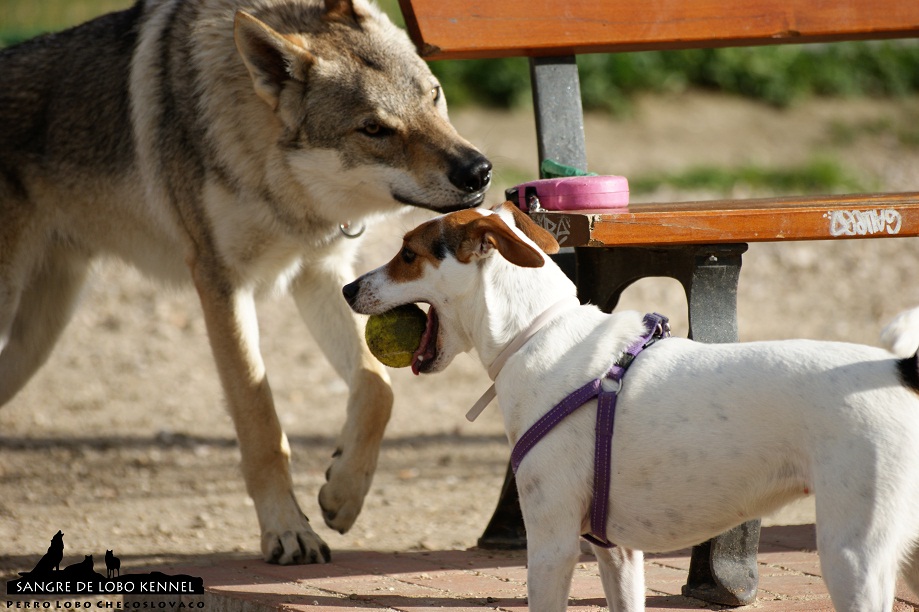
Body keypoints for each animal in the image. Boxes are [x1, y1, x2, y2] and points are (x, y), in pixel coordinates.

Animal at [344, 204, 919, 612]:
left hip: (854, 556)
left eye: (408, 253)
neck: (538, 334)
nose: (348, 288)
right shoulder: (616, 550)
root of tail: (900, 371)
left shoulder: (551, 543)